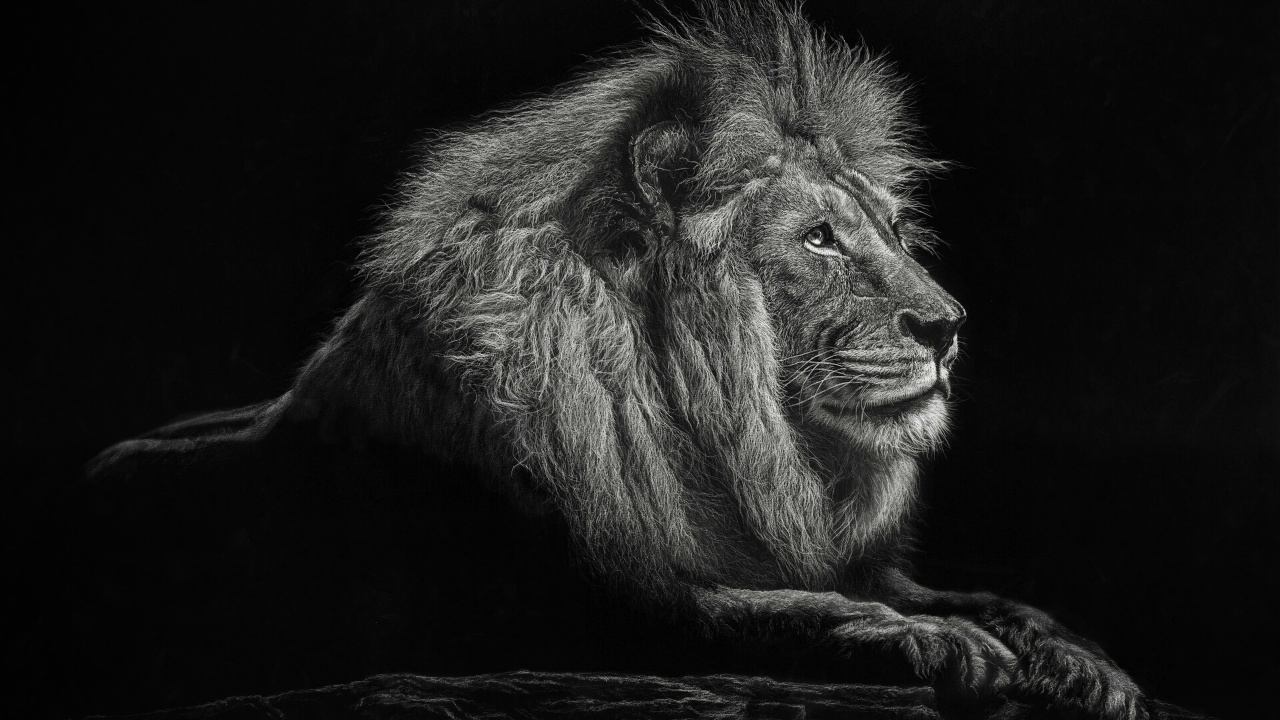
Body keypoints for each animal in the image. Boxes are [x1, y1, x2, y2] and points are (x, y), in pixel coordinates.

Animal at [85, 2, 1146, 718]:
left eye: (890, 229)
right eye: (818, 240)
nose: (948, 325)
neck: (724, 440)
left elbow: (986, 597)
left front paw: (1087, 663)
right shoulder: (589, 607)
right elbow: (785, 614)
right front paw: (936, 642)